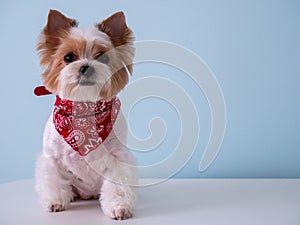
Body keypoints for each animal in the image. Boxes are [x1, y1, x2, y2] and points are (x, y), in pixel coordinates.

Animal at [34, 10, 138, 220]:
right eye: (68, 57)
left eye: (104, 58)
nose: (86, 67)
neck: (84, 110)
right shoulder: (51, 158)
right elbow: (53, 179)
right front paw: (55, 202)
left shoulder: (118, 158)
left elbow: (118, 185)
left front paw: (119, 207)